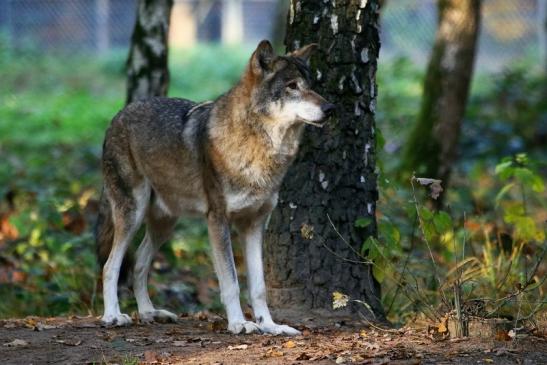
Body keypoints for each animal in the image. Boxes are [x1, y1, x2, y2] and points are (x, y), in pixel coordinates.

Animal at [95, 39, 334, 332]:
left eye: (311, 85)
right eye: (292, 86)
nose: (330, 108)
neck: (258, 147)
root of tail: (118, 115)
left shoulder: (254, 225)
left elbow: (259, 287)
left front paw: (270, 326)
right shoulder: (217, 220)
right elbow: (231, 281)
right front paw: (239, 324)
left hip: (165, 224)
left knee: (139, 265)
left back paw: (150, 313)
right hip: (133, 215)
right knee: (110, 266)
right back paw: (112, 316)